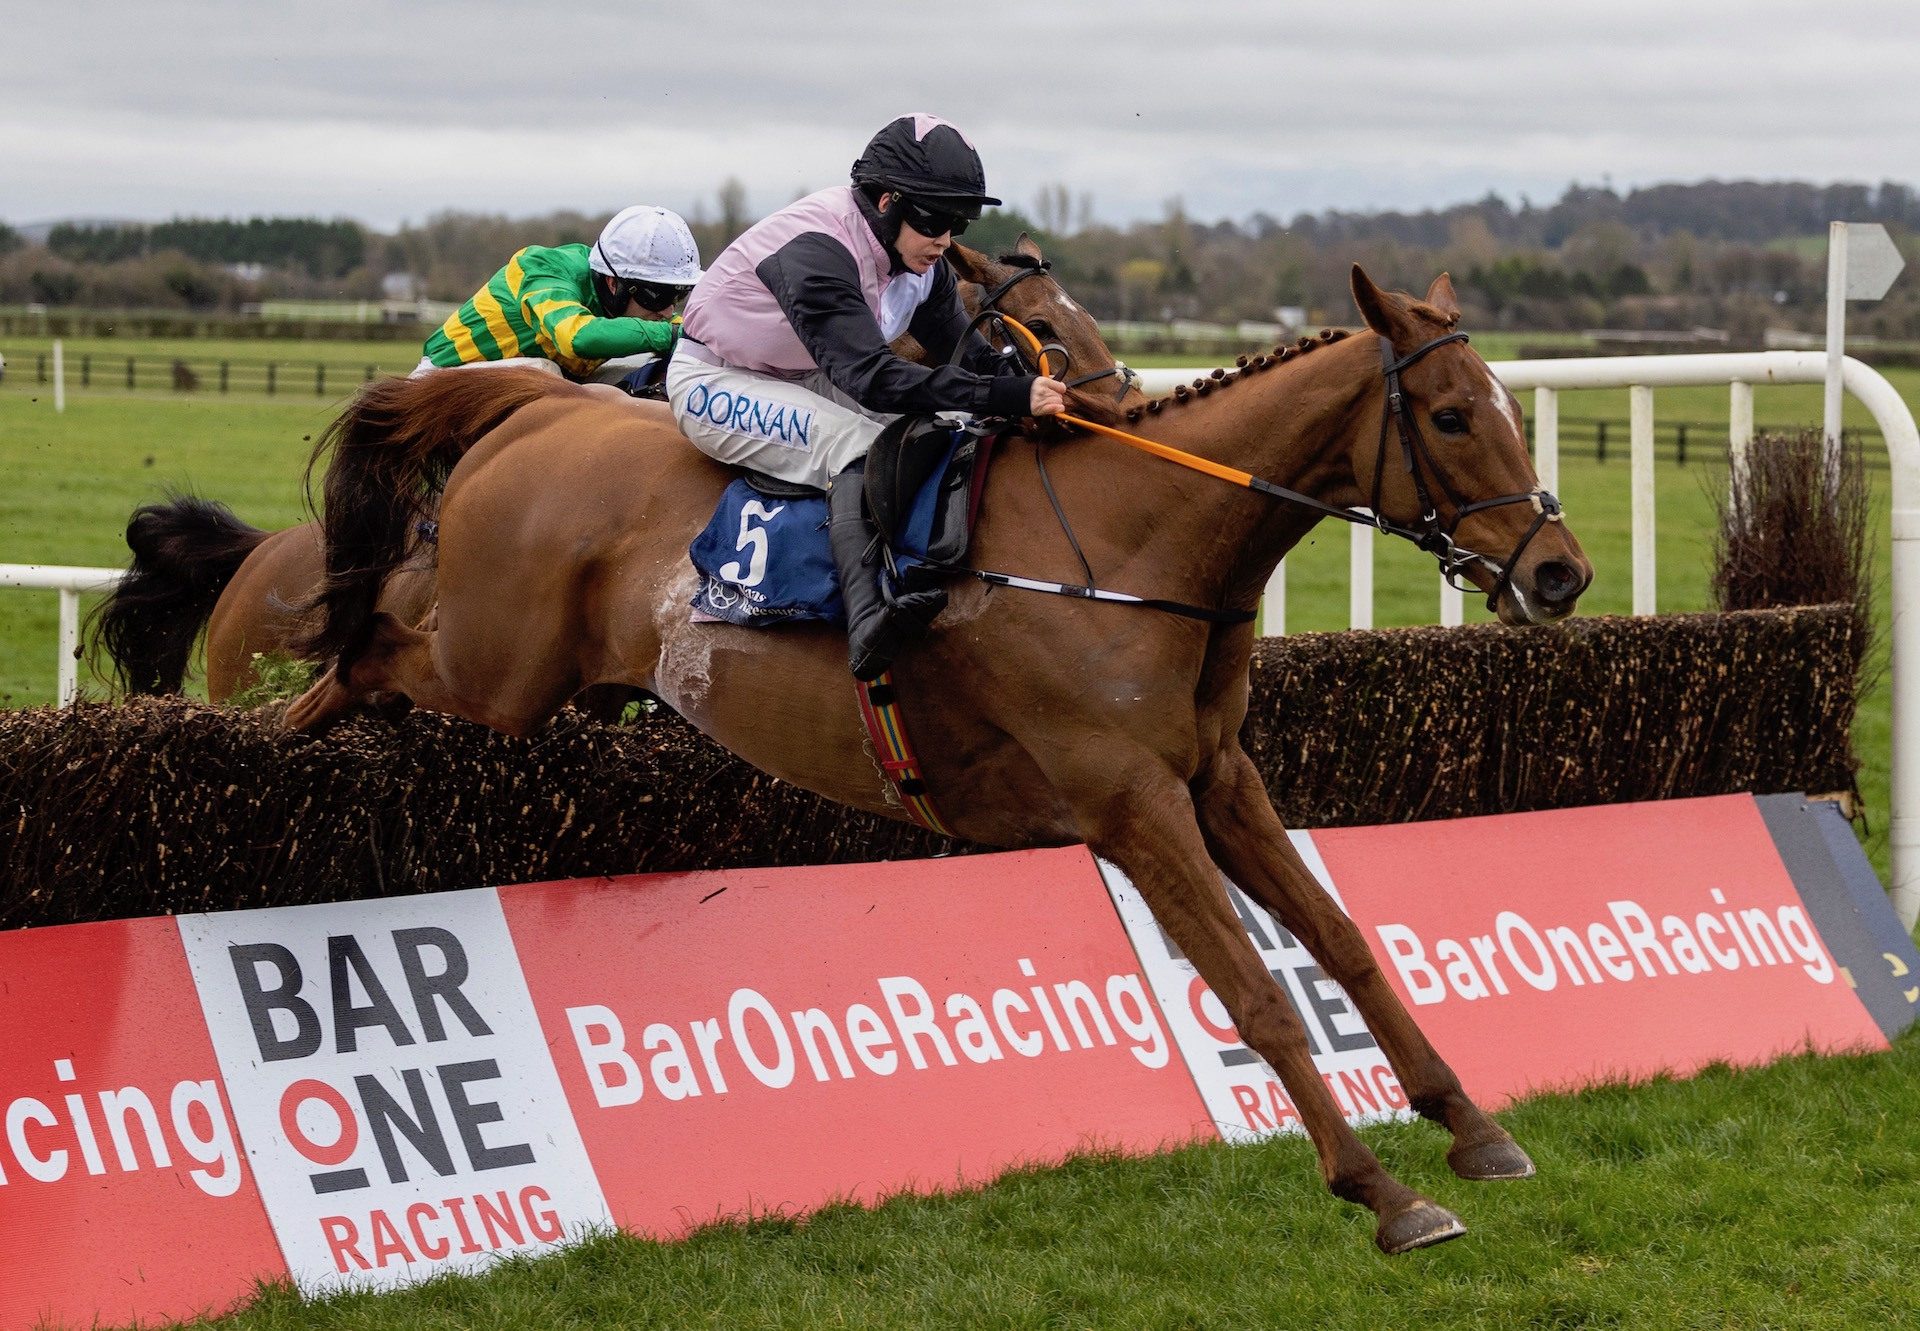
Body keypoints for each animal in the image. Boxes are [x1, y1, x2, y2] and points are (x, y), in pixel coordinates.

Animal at [288, 266, 1589, 1244]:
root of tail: (539, 402)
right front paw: (1384, 1190)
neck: (1134, 543)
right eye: (1453, 415)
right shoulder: (1130, 801)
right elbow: (1257, 993)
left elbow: (1345, 942)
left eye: (1505, 404)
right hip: (498, 665)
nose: (1561, 571)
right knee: (377, 631)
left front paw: (1471, 1124)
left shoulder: (1220, 777)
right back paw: (293, 718)